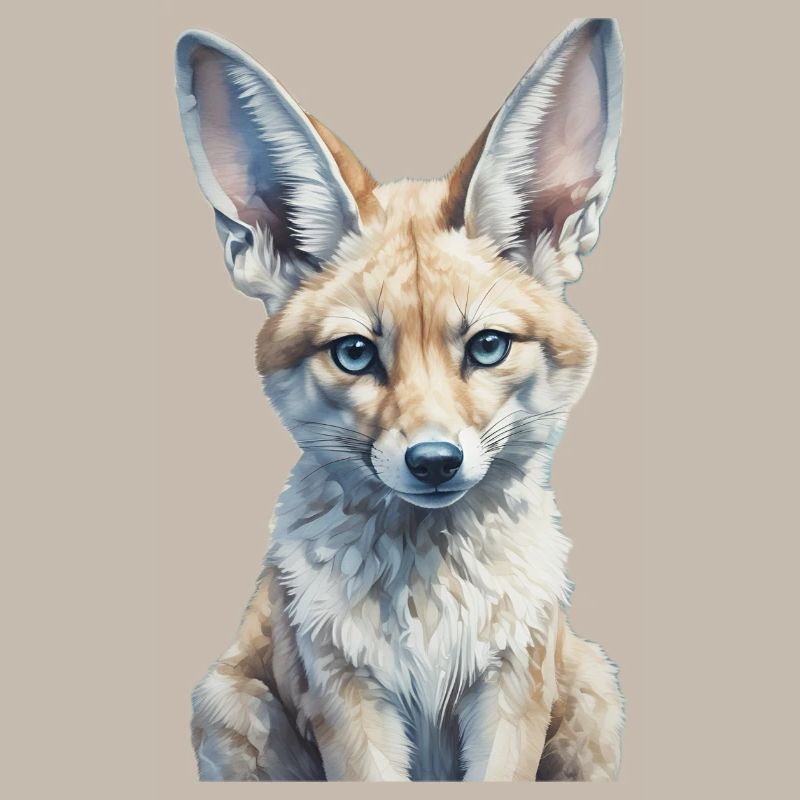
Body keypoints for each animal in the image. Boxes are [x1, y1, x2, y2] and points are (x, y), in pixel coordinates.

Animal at [175, 17, 625, 782]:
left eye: (487, 346)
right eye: (356, 353)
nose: (435, 462)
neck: (431, 607)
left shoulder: (512, 690)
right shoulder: (347, 699)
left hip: (594, 693)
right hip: (226, 706)